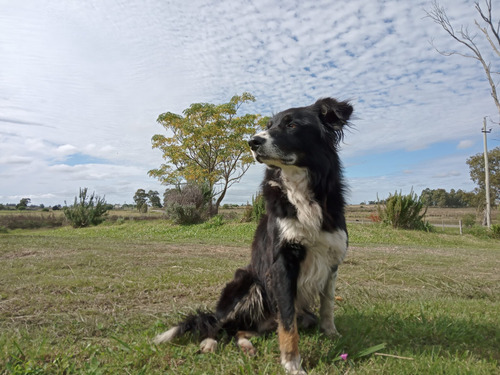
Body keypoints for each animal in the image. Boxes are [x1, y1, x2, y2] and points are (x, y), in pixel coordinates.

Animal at [154, 98, 354, 374]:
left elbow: (328, 305)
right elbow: (288, 323)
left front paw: (331, 334)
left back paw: (247, 346)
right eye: (268, 126)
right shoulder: (282, 263)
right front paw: (292, 363)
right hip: (248, 283)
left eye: (291, 125)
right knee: (217, 325)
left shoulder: (332, 259)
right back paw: (209, 343)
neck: (301, 187)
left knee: (241, 330)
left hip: (294, 315)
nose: (252, 142)